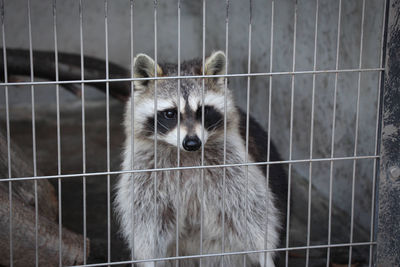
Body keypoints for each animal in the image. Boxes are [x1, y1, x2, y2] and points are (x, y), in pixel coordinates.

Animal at [115, 51, 288, 266]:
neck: (186, 155)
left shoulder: (232, 163)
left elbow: (250, 210)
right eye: (170, 114)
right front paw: (148, 259)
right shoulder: (145, 171)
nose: (192, 143)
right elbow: (147, 221)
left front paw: (264, 253)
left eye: (203, 111)